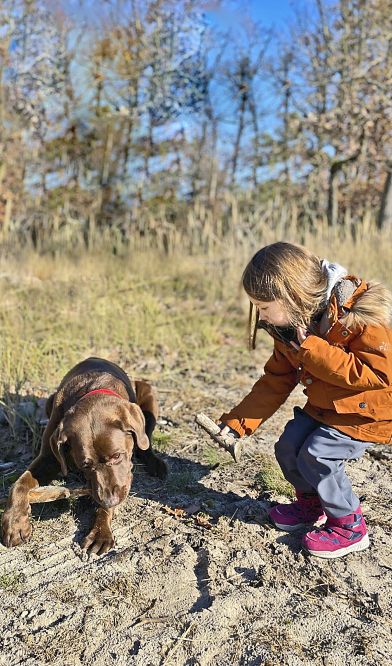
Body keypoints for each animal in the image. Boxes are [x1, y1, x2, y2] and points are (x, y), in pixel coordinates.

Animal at [1, 356, 167, 552]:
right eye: (85, 465)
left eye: (117, 456)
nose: (110, 501)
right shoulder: (48, 458)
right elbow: (19, 484)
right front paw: (14, 522)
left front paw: (100, 531)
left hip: (148, 394)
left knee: (145, 442)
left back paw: (156, 464)